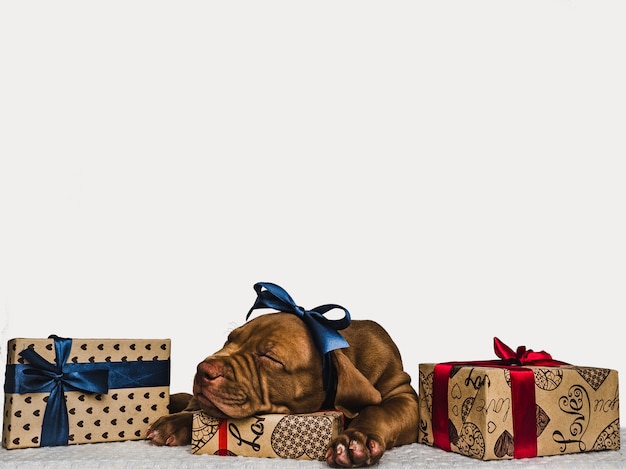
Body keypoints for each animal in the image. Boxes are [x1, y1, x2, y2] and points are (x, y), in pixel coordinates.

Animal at [149, 284, 416, 466]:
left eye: (270, 357)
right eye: (229, 340)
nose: (202, 369)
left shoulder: (404, 395)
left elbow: (378, 411)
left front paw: (355, 440)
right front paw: (175, 422)